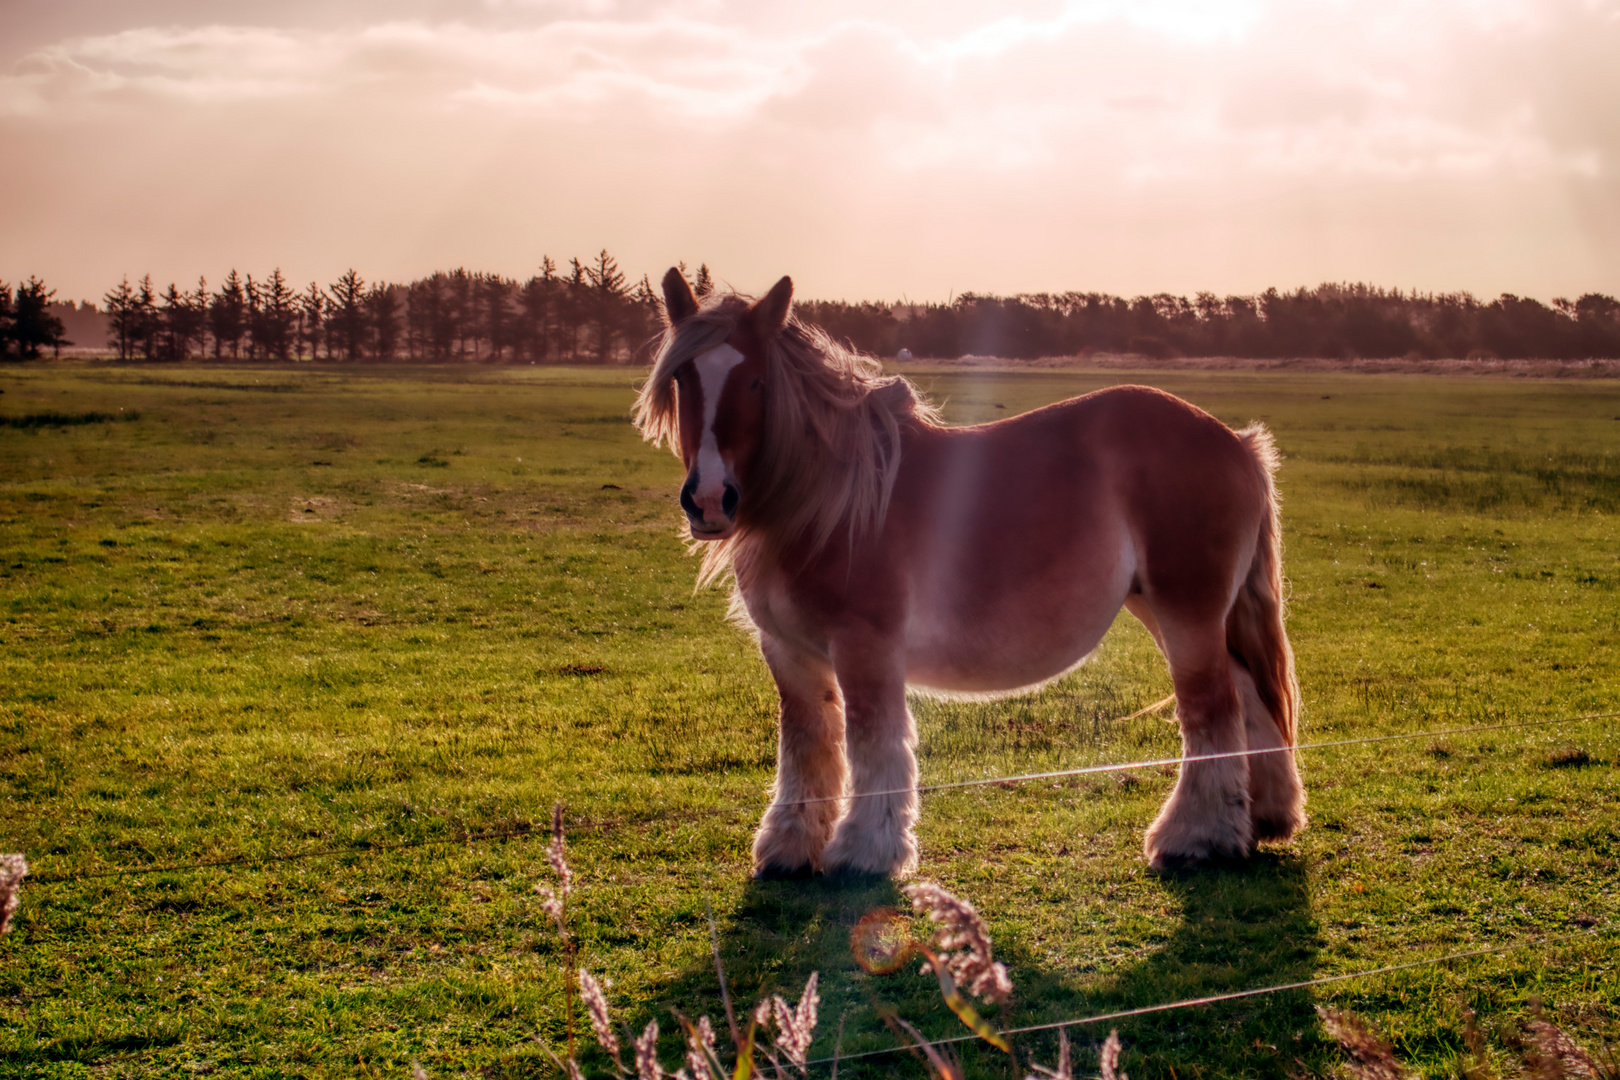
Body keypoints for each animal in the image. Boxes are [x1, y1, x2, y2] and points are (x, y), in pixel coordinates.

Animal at [631, 268, 1302, 880]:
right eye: (683, 380)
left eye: (755, 380)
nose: (710, 499)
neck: (830, 501)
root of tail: (1238, 442)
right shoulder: (789, 652)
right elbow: (807, 744)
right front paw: (790, 847)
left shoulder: (865, 646)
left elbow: (875, 742)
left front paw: (865, 853)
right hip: (1171, 611)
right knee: (1247, 695)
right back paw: (1261, 819)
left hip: (1185, 611)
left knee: (1212, 709)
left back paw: (1194, 838)